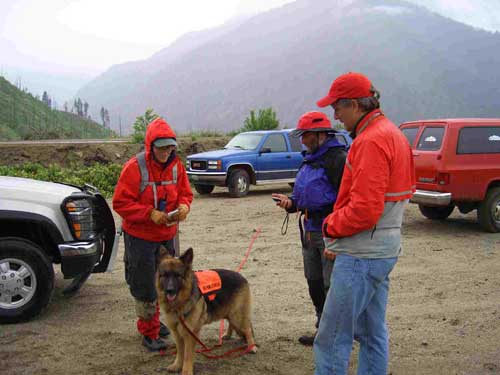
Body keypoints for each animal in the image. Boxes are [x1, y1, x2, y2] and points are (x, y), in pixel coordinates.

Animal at [157, 247, 258, 375]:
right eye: (165, 275)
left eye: (177, 275)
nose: (169, 290)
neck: (180, 302)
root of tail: (241, 276)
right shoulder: (176, 332)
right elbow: (180, 352)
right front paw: (177, 365)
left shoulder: (190, 334)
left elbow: (187, 355)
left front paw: (186, 371)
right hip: (229, 312)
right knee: (232, 323)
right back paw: (228, 335)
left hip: (237, 315)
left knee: (247, 329)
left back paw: (252, 346)